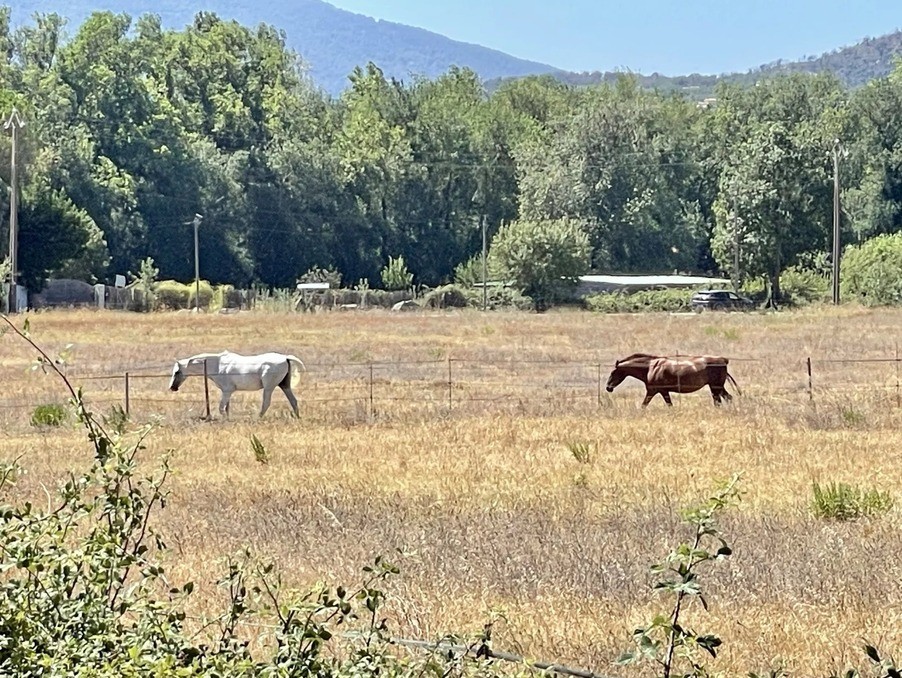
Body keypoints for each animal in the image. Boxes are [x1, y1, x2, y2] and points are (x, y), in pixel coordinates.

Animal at [170, 354, 308, 418]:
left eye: (177, 372)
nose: (172, 387)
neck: (218, 365)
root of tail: (285, 357)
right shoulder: (228, 393)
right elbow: (226, 408)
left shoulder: (227, 391)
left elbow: (221, 408)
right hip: (284, 386)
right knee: (293, 401)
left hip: (269, 388)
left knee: (266, 403)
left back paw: (257, 418)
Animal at [608, 356, 740, 410]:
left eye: (613, 372)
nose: (608, 387)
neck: (651, 368)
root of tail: (724, 360)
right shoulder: (663, 391)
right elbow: (669, 405)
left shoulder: (653, 391)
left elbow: (644, 405)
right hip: (718, 387)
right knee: (728, 398)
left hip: (715, 387)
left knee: (719, 401)